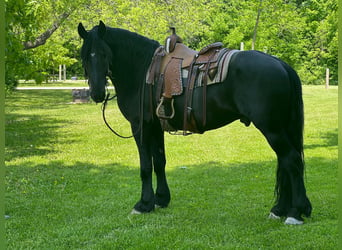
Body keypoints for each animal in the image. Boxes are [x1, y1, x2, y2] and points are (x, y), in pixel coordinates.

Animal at [78, 21, 312, 225]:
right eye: (85, 57)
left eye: (104, 54)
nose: (97, 93)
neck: (142, 69)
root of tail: (281, 64)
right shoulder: (155, 127)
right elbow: (159, 162)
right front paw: (161, 199)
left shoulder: (140, 127)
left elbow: (145, 166)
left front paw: (143, 204)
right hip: (279, 128)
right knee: (285, 162)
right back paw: (280, 209)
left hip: (272, 129)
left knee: (291, 160)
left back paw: (295, 212)